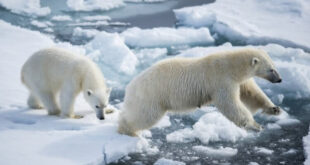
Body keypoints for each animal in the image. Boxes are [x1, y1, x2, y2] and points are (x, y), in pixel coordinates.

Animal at [118, 47, 284, 135]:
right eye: (271, 69)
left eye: (274, 66)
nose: (280, 79)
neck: (231, 66)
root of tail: (130, 86)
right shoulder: (221, 80)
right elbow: (230, 104)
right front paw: (255, 125)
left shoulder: (239, 81)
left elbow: (252, 93)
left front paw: (275, 109)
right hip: (152, 95)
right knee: (145, 115)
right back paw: (127, 130)